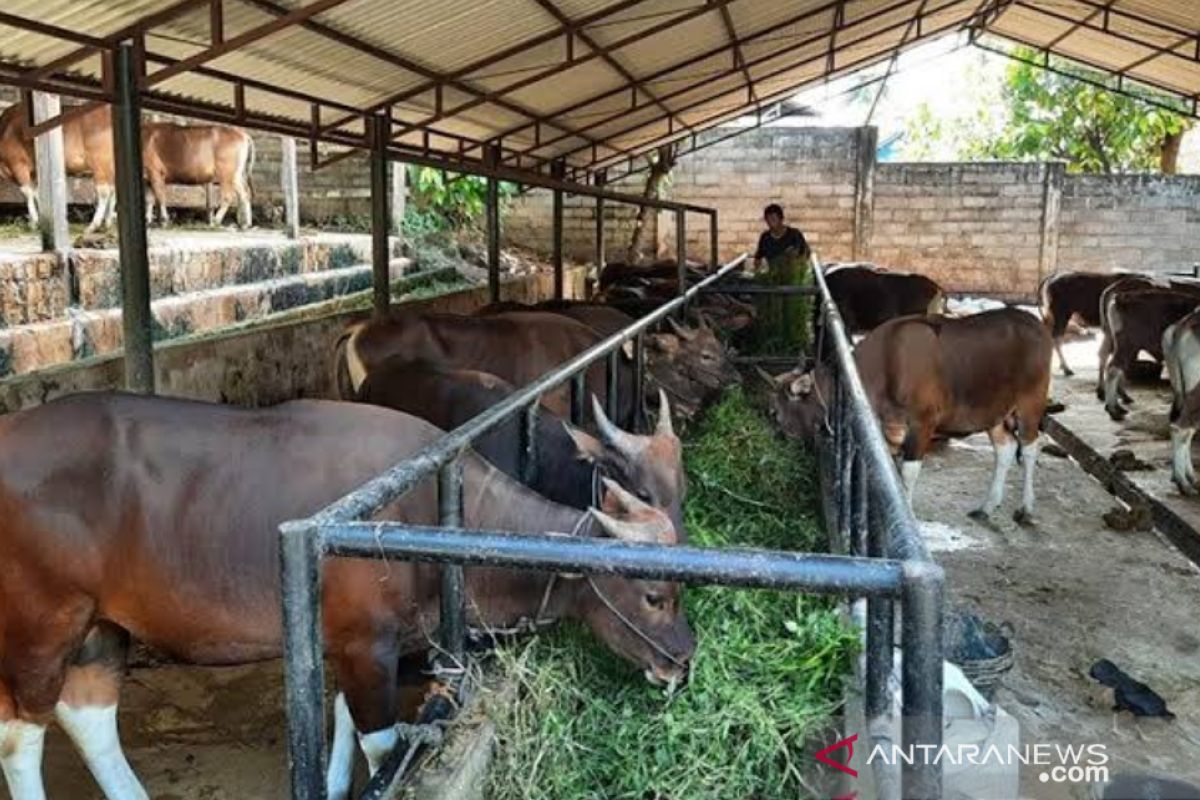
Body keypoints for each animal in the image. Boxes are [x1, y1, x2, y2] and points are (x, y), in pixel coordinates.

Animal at [0, 393, 696, 800]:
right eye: (654, 594)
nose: (683, 662)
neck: (424, 509)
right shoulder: (366, 645)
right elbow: (380, 746)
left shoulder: (352, 642)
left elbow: (337, 718)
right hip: (41, 623)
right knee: (21, 734)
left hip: (100, 626)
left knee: (87, 717)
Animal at [768, 307, 1051, 525]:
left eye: (777, 413)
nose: (779, 441)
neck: (885, 365)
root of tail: (1035, 322)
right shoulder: (889, 430)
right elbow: (892, 477)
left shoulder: (922, 424)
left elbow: (908, 473)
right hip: (994, 412)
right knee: (1005, 449)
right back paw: (987, 507)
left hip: (1030, 403)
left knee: (1029, 448)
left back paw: (1026, 508)